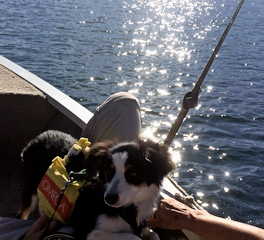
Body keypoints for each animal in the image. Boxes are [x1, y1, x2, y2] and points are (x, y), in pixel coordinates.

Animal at [17, 130, 174, 240]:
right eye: (109, 171)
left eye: (133, 173)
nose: (109, 199)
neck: (130, 207)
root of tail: (40, 136)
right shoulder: (86, 231)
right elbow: (134, 237)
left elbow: (154, 235)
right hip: (30, 186)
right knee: (22, 213)